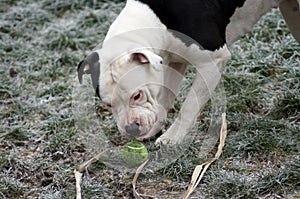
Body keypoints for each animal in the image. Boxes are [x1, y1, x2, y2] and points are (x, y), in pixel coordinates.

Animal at [78, 0, 300, 145]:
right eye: (108, 104)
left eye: (137, 95)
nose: (131, 128)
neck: (154, 20)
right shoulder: (174, 60)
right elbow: (165, 97)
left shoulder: (211, 62)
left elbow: (189, 105)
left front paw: (172, 137)